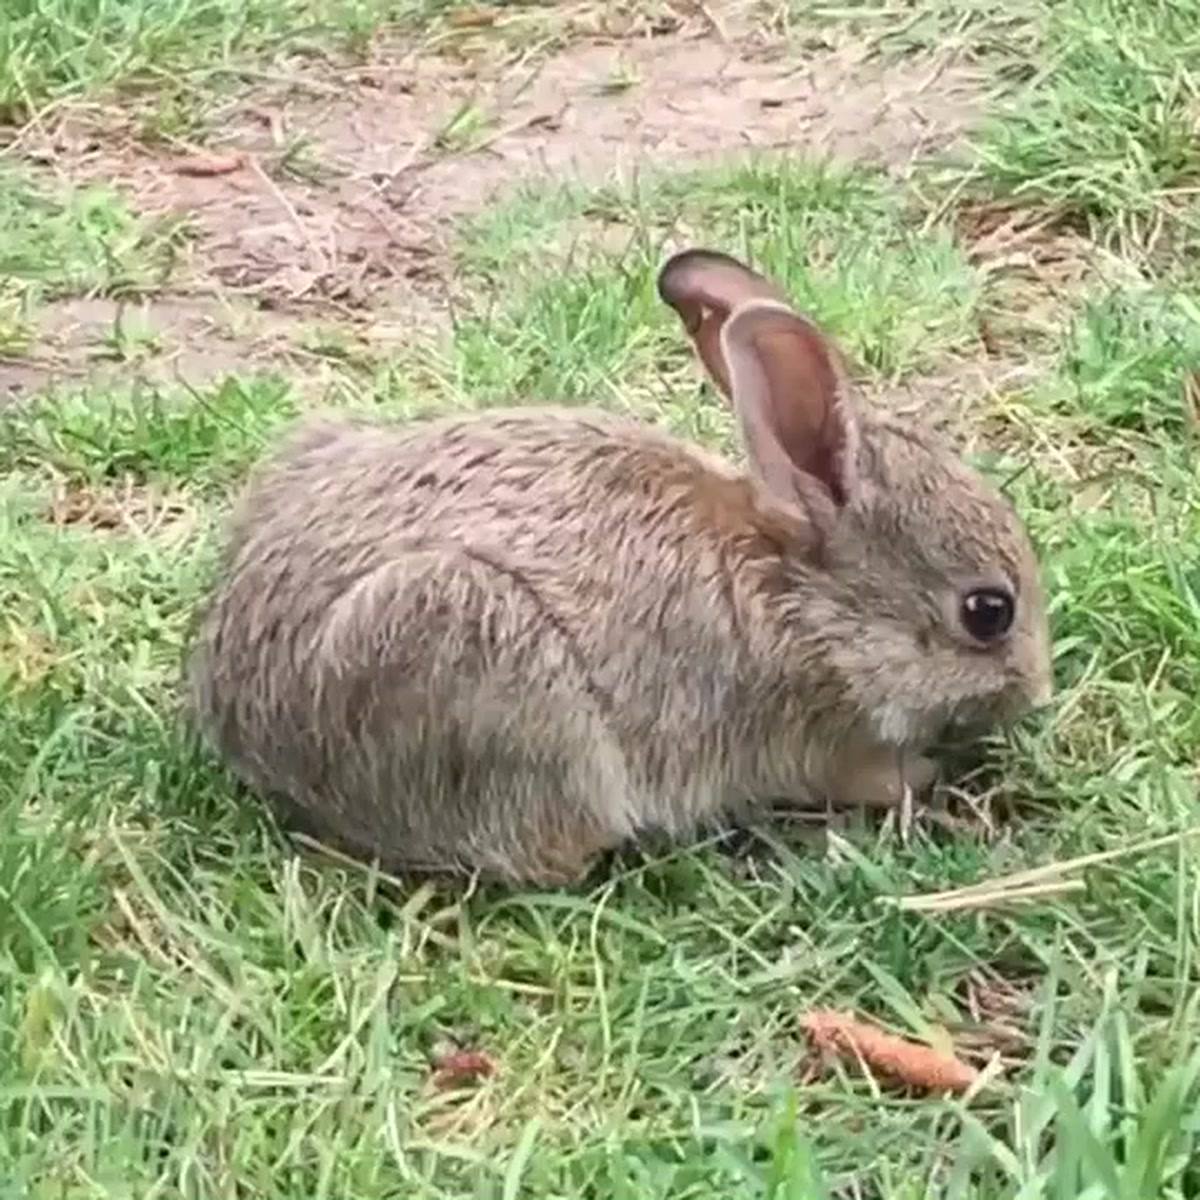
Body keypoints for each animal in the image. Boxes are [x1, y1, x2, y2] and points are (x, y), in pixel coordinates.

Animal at [185, 247, 1053, 885]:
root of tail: (251, 731)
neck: (808, 600)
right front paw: (923, 777)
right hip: (461, 638)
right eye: (988, 611)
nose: (1037, 690)